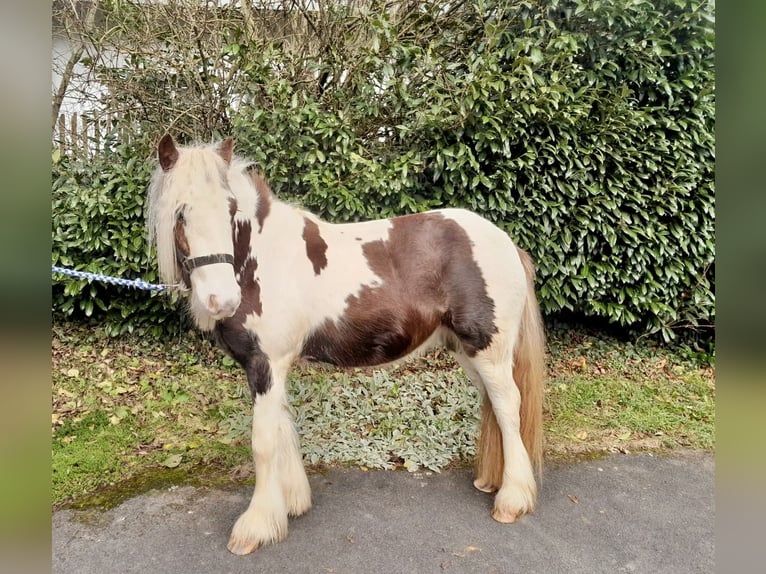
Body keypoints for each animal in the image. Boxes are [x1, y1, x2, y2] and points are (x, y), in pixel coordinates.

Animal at [148, 135, 544, 560]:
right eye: (180, 213)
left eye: (230, 209)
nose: (221, 300)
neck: (260, 261)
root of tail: (506, 243)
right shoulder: (271, 368)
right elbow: (283, 430)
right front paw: (291, 504)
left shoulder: (266, 364)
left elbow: (264, 442)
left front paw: (256, 527)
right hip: (468, 352)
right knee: (494, 406)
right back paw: (491, 482)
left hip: (489, 350)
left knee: (507, 407)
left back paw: (511, 500)